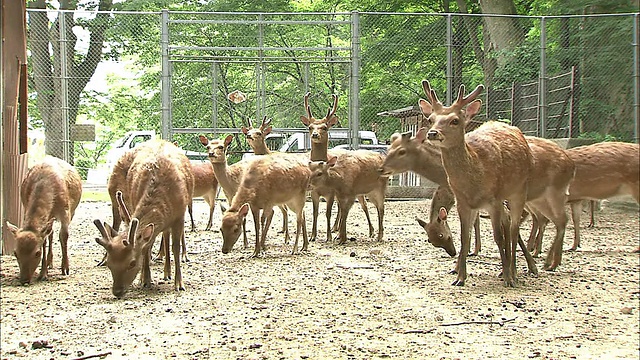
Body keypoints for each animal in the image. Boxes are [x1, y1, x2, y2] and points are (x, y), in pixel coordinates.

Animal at [5, 156, 82, 286]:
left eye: (37, 253)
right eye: (15, 253)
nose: (24, 280)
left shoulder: (66, 211)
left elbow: (64, 236)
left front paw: (65, 268)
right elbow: (45, 240)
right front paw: (43, 274)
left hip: (72, 211)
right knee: (50, 234)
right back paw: (50, 263)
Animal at [92, 139, 192, 296]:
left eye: (132, 262)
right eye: (109, 263)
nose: (117, 291)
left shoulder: (179, 215)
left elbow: (175, 247)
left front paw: (179, 284)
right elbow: (146, 246)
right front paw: (145, 280)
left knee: (166, 236)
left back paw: (167, 273)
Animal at [298, 94, 376, 243]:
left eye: (325, 127)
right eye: (310, 127)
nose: (315, 135)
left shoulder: (331, 192)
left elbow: (328, 213)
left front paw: (328, 236)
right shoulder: (314, 192)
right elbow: (315, 213)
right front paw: (313, 236)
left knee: (363, 205)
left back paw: (370, 231)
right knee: (341, 207)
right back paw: (337, 228)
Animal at [420, 81, 536, 286]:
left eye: (455, 120)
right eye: (430, 119)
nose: (433, 133)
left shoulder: (494, 199)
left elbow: (498, 238)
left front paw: (508, 278)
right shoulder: (463, 203)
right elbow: (464, 238)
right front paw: (459, 277)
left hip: (519, 190)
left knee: (513, 229)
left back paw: (515, 272)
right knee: (508, 223)